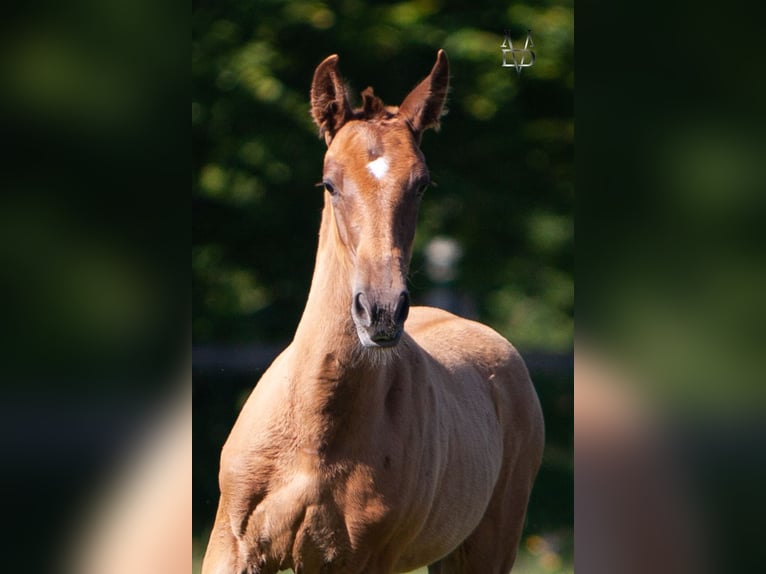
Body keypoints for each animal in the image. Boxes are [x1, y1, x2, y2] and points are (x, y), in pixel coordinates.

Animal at [201, 50, 544, 574]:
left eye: (422, 184)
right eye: (329, 183)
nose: (380, 311)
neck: (314, 431)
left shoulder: (360, 560)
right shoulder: (232, 546)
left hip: (488, 546)